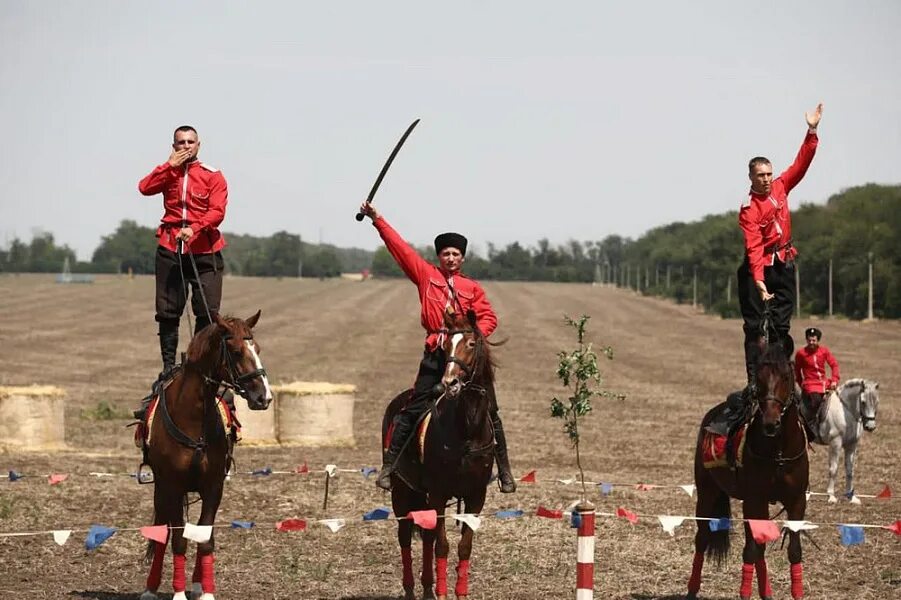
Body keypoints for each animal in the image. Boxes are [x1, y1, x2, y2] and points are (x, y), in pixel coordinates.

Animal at [139, 312, 272, 596]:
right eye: (235, 351)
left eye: (257, 349)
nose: (264, 397)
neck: (193, 419)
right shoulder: (172, 486)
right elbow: (177, 539)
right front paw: (178, 593)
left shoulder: (213, 487)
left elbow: (206, 538)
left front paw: (207, 591)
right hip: (161, 490)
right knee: (162, 532)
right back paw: (151, 587)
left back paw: (198, 584)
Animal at [382, 310, 496, 600]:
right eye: (446, 347)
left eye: (471, 343)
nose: (450, 383)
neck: (466, 430)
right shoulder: (439, 493)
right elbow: (442, 545)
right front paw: (444, 593)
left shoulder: (476, 496)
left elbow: (464, 546)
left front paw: (459, 593)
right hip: (402, 492)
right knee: (405, 535)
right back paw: (411, 590)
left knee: (427, 535)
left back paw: (426, 589)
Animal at [688, 342, 808, 600]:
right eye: (758, 378)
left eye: (786, 376)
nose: (771, 423)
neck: (778, 452)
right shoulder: (755, 500)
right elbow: (750, 550)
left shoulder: (796, 501)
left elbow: (793, 550)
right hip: (707, 492)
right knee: (702, 538)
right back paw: (691, 589)